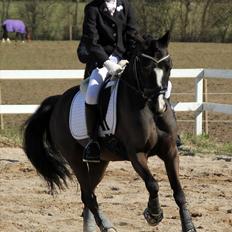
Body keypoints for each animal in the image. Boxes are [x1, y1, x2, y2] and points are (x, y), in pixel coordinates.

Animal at [22, 31, 196, 232]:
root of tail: (58, 101)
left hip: (101, 162)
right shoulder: (136, 154)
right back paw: (106, 225)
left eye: (169, 66)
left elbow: (179, 191)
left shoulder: (170, 151)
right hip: (75, 158)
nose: (158, 106)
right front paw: (153, 214)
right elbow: (153, 184)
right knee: (88, 195)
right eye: (145, 67)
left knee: (88, 193)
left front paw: (189, 226)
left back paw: (92, 226)